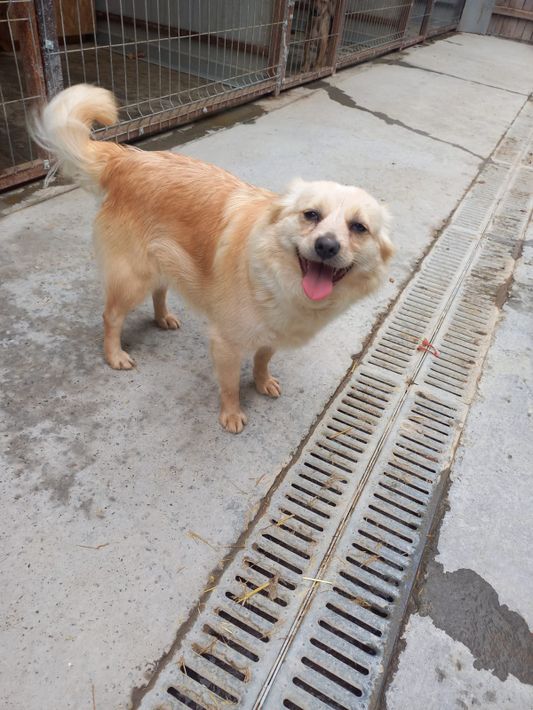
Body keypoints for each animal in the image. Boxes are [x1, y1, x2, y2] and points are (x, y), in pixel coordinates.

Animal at [33, 84, 393, 433]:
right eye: (311, 215)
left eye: (358, 227)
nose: (326, 246)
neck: (273, 274)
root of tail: (126, 160)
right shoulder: (227, 344)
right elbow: (231, 386)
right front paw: (231, 414)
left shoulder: (271, 335)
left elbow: (262, 360)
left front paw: (262, 382)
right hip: (133, 277)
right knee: (111, 316)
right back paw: (114, 354)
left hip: (163, 259)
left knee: (160, 290)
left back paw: (163, 318)